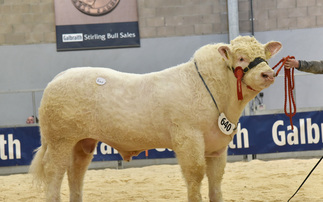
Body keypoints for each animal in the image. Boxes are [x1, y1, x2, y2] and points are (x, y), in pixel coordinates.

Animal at [31, 35, 284, 201]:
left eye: (264, 55)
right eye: (241, 58)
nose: (268, 73)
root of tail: (59, 77)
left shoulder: (217, 146)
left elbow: (216, 182)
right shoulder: (188, 138)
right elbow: (195, 175)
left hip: (83, 142)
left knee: (76, 171)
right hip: (60, 139)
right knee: (54, 171)